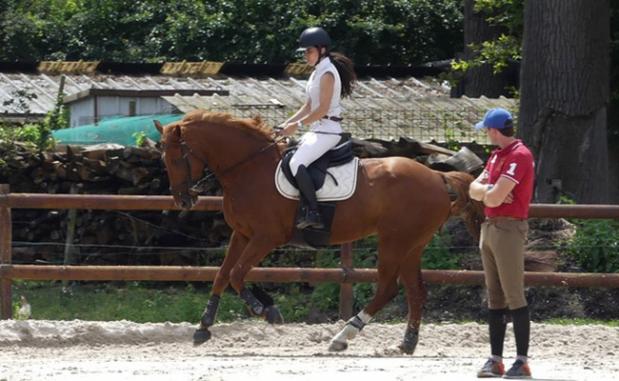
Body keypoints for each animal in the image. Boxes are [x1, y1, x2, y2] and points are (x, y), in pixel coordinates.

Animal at [156, 108, 484, 352]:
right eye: (163, 159)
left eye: (176, 158)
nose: (182, 199)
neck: (249, 169)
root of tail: (436, 176)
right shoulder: (243, 234)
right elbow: (222, 275)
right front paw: (203, 327)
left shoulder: (266, 237)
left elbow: (237, 274)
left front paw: (266, 310)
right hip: (411, 243)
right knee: (416, 290)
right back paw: (407, 342)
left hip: (395, 241)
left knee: (388, 288)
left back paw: (344, 335)